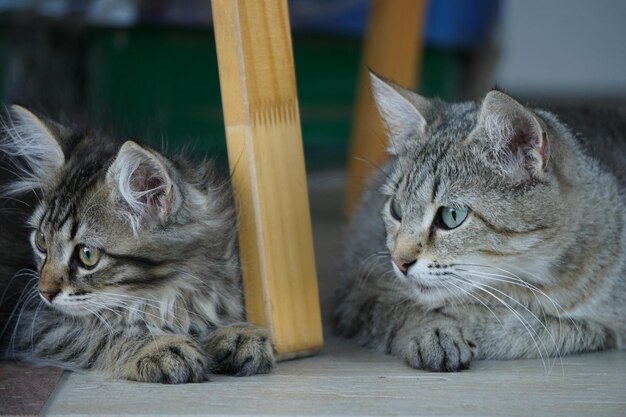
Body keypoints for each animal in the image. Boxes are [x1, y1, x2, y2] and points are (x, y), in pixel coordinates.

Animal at [0, 105, 272, 382]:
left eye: (87, 255)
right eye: (41, 242)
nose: (44, 292)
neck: (167, 293)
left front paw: (234, 333)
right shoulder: (37, 324)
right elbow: (103, 333)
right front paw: (159, 346)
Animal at [334, 73, 624, 372]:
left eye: (452, 216)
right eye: (396, 209)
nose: (399, 262)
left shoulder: (609, 325)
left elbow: (535, 330)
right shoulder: (357, 286)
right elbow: (395, 307)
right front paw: (431, 331)